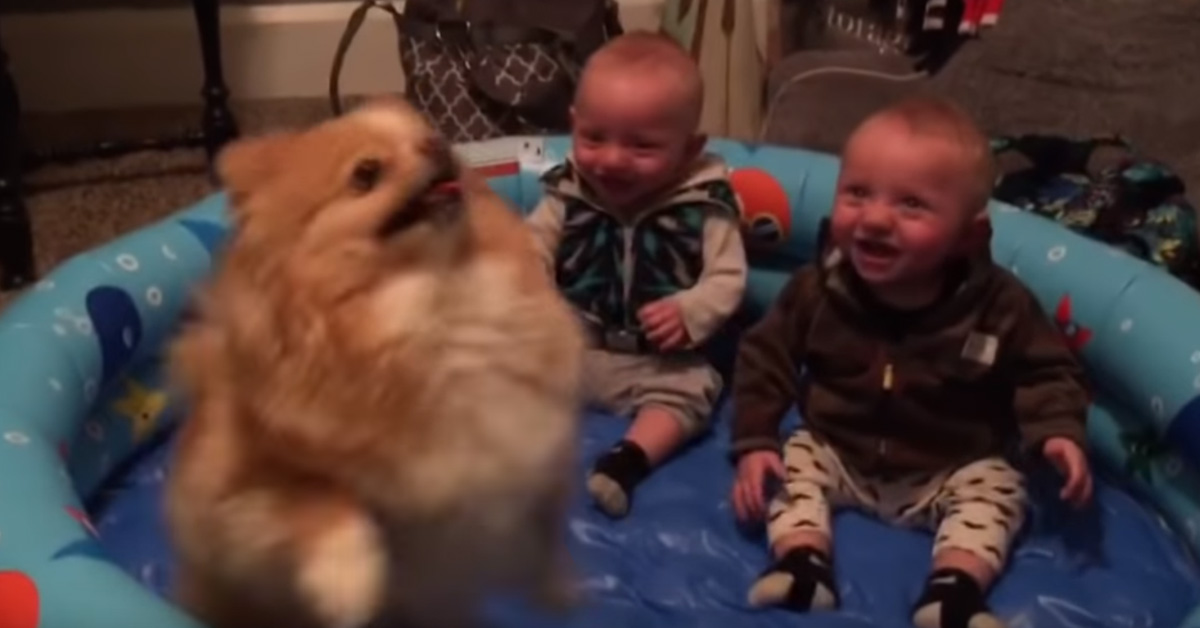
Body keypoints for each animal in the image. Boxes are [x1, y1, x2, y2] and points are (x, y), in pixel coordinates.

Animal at [163, 97, 585, 628]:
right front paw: (348, 577)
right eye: (366, 173)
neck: (434, 303)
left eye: (427, 133)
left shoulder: (528, 453)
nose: (437, 143)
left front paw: (558, 582)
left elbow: (547, 519)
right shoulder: (228, 505)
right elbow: (318, 492)